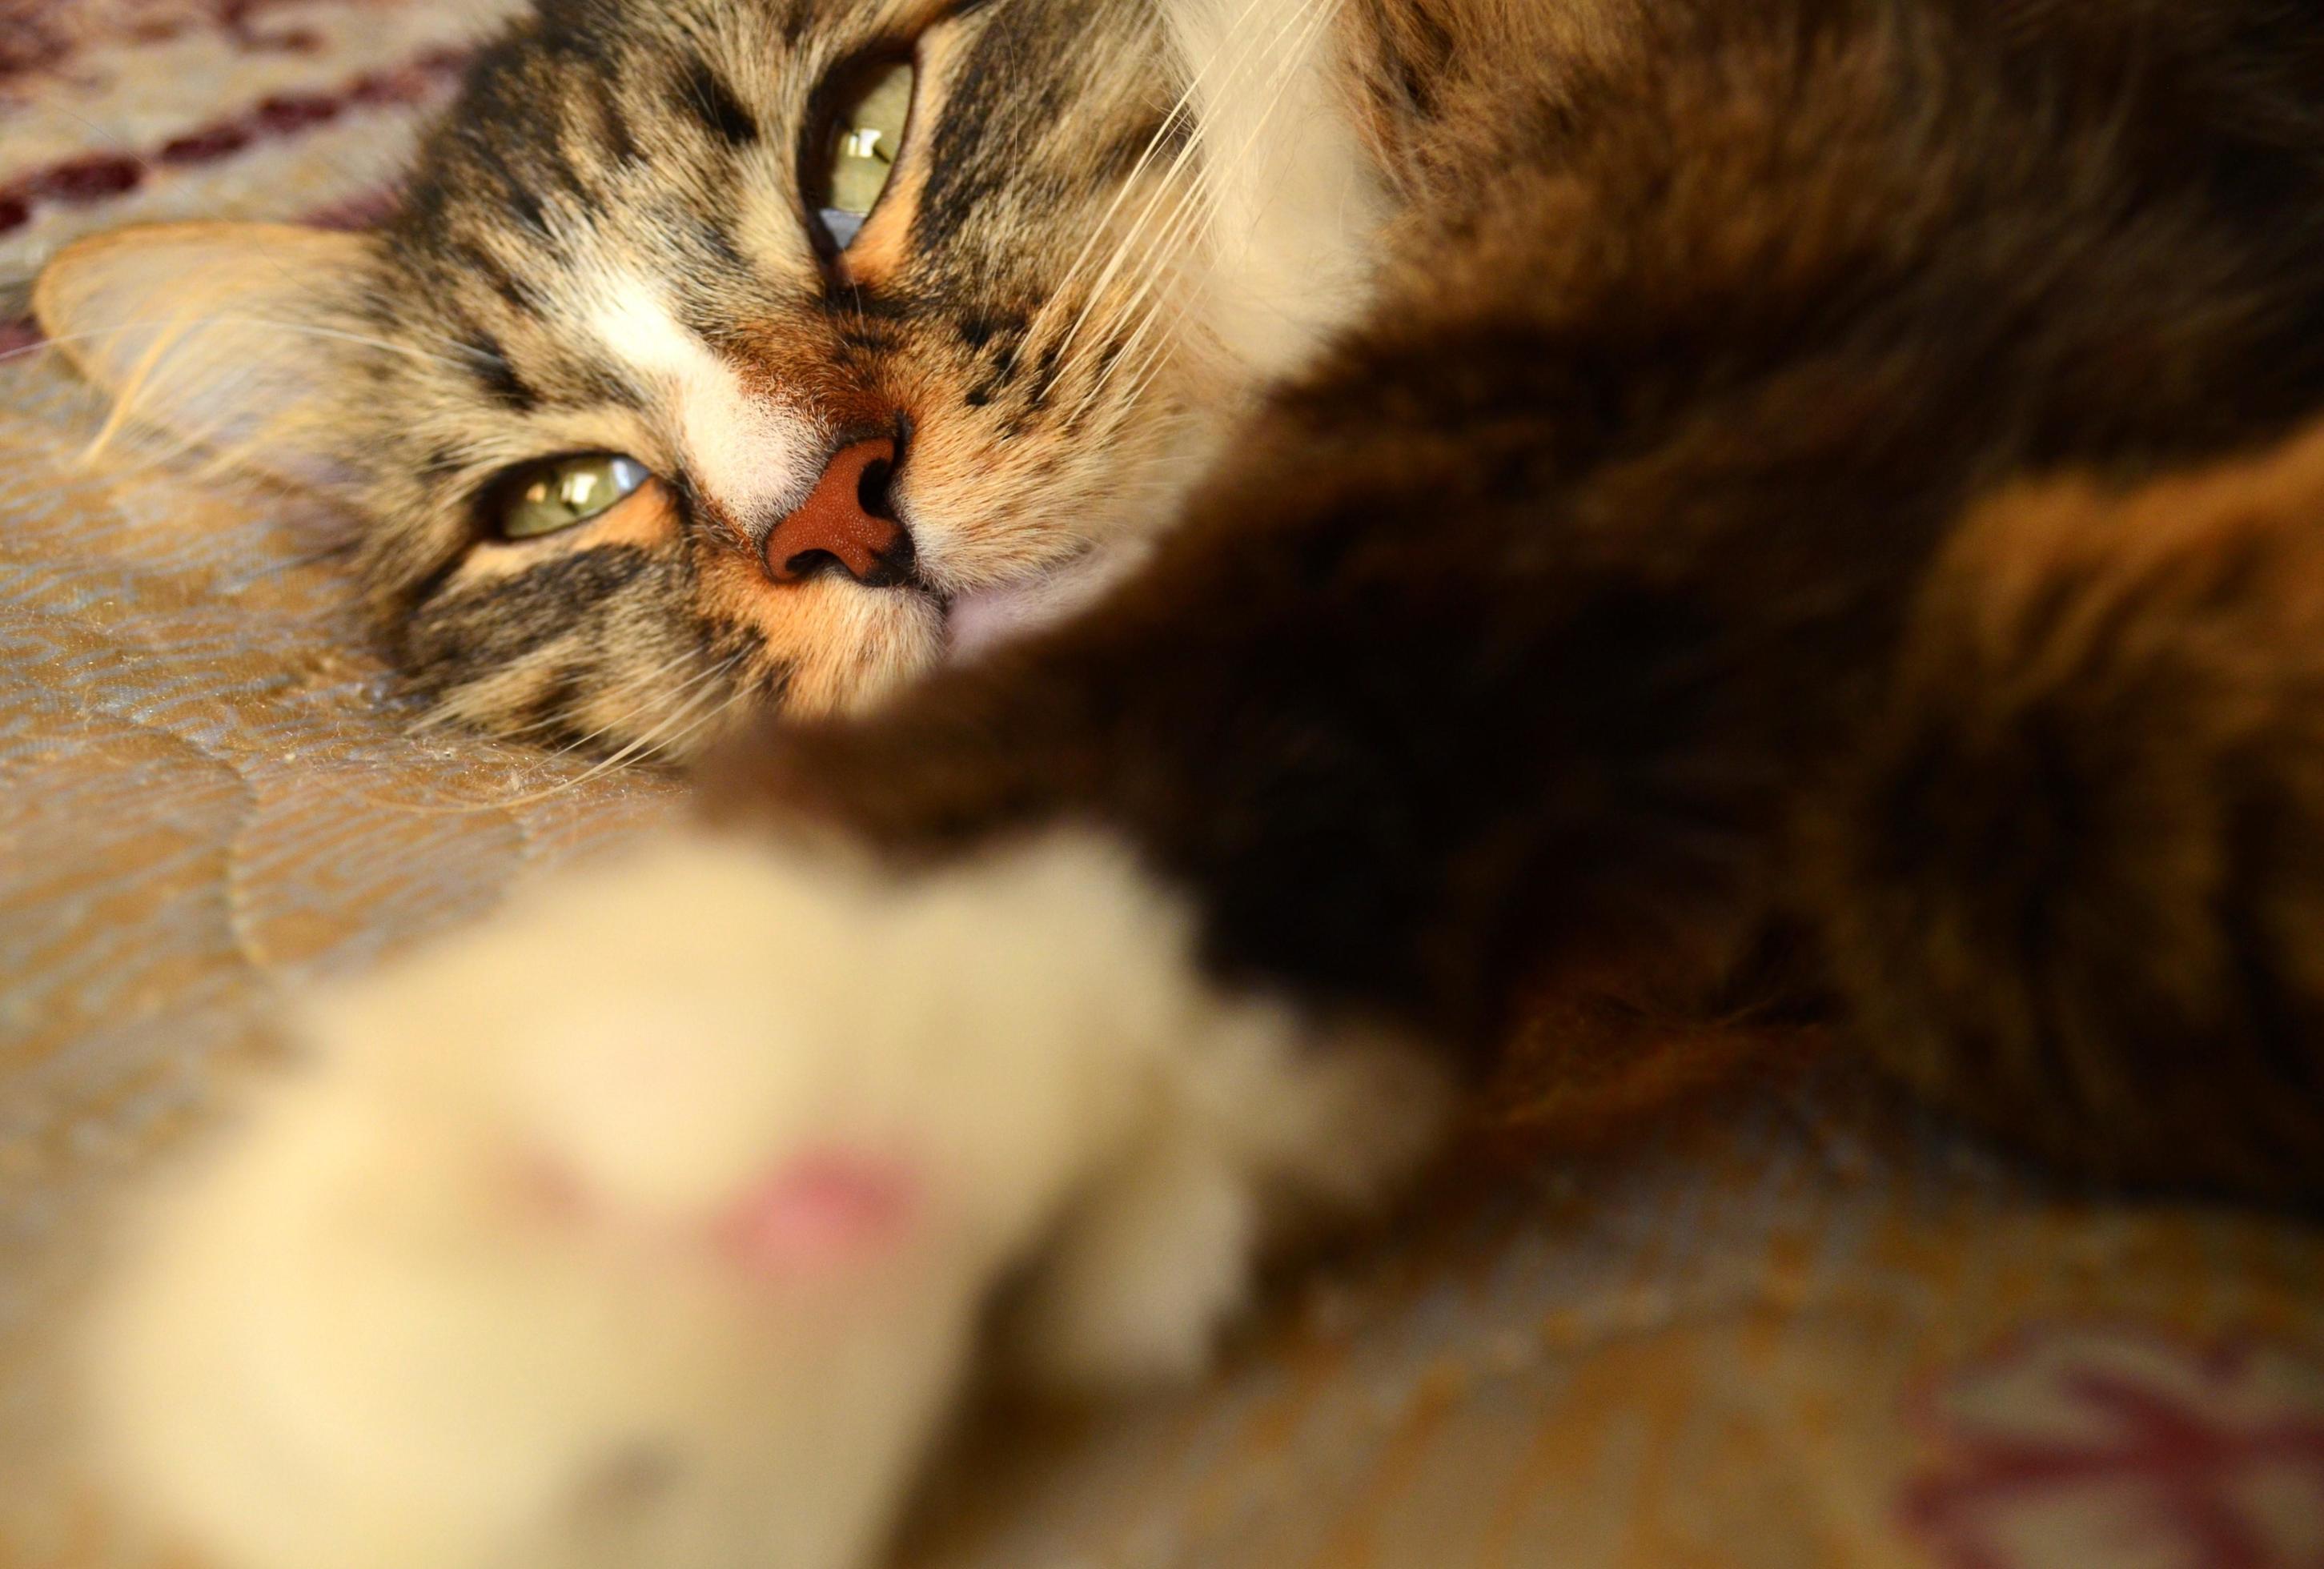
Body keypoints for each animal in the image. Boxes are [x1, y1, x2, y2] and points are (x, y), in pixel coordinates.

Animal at [27, 2, 2324, 1569]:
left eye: (862, 139)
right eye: (563, 499)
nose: (830, 518)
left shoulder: (1800, 140)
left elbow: (1380, 542)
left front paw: (763, 1063)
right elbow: (2002, 839)